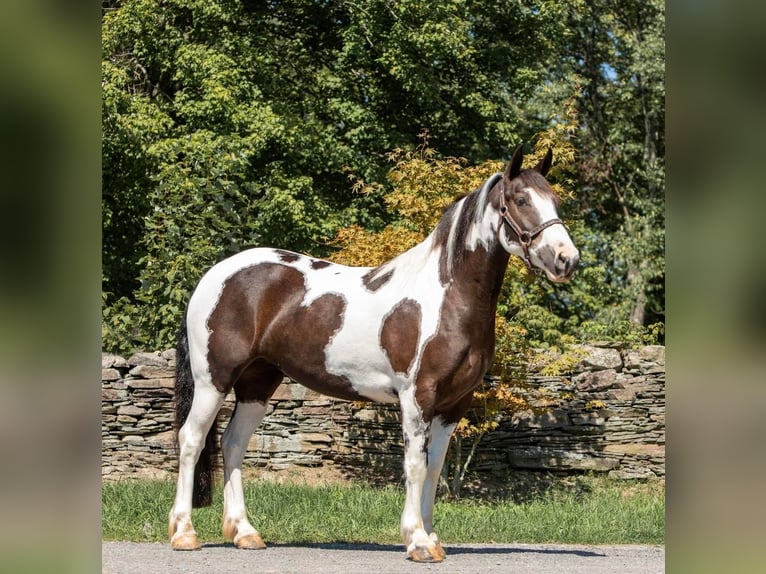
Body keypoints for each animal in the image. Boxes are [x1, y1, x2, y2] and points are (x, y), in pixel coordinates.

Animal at [166, 144, 576, 564]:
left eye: (555, 200)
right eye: (522, 200)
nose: (567, 259)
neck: (447, 297)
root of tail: (214, 276)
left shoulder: (454, 404)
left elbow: (434, 467)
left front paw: (432, 539)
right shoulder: (417, 397)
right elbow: (414, 465)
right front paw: (416, 541)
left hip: (258, 382)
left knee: (232, 444)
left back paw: (245, 533)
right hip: (213, 380)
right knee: (191, 440)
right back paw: (184, 533)